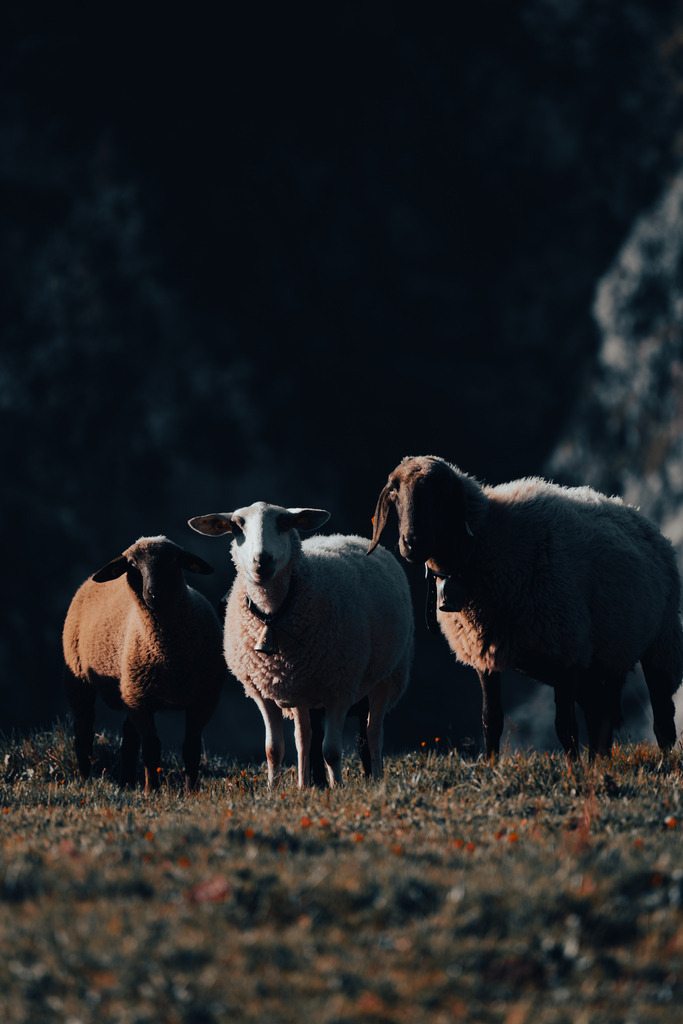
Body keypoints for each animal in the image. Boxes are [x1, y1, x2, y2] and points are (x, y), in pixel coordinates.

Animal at [63, 536, 226, 792]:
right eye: (132, 563)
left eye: (174, 559)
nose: (153, 594)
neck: (172, 658)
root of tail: (89, 580)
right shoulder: (141, 701)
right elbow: (151, 748)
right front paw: (153, 791)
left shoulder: (205, 698)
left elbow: (191, 748)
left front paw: (192, 792)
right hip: (80, 679)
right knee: (84, 732)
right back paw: (86, 780)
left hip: (128, 689)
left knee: (128, 737)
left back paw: (126, 783)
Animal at [188, 502, 413, 787]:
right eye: (237, 526)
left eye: (284, 522)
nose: (262, 560)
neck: (272, 615)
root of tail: (353, 536)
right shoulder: (263, 691)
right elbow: (273, 749)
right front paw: (273, 789)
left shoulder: (340, 688)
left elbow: (331, 751)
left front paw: (338, 787)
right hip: (301, 687)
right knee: (304, 736)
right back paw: (303, 785)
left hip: (388, 677)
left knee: (373, 733)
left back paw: (377, 780)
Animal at [368, 455, 683, 759]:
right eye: (395, 493)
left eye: (441, 492)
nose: (412, 543)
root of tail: (639, 516)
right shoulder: (484, 653)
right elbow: (491, 721)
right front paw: (491, 767)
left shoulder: (565, 649)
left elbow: (565, 727)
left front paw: (573, 769)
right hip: (606, 656)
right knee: (601, 718)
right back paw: (599, 762)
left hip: (661, 642)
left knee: (662, 718)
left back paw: (660, 760)